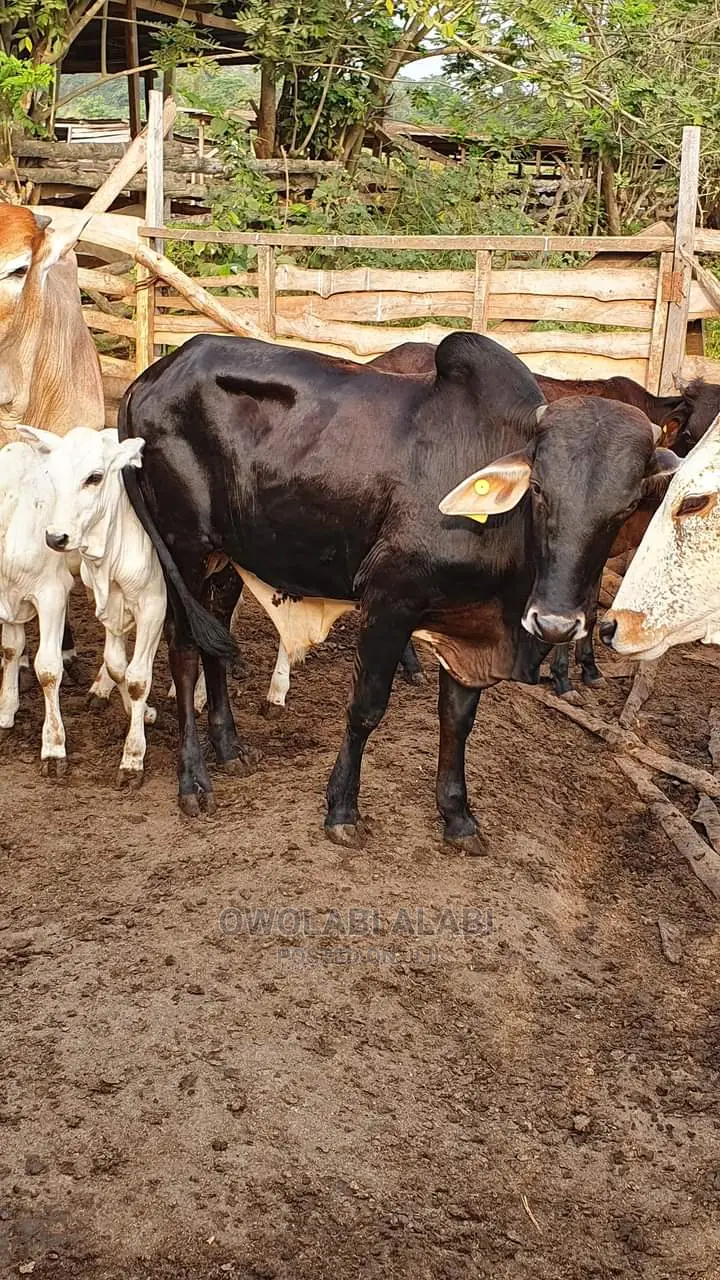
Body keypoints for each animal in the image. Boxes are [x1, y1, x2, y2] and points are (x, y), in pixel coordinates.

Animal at [17, 425, 167, 787]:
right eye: (51, 476)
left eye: (94, 477)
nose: (56, 537)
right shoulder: (109, 605)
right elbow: (117, 665)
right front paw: (139, 711)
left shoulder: (154, 605)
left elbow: (139, 677)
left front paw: (133, 758)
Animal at [116, 330, 675, 851]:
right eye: (538, 490)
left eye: (626, 506)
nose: (556, 623)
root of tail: (154, 375)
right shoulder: (390, 600)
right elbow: (366, 709)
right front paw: (342, 810)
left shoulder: (466, 625)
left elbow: (457, 721)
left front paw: (458, 817)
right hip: (183, 548)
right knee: (185, 652)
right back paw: (193, 780)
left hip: (227, 557)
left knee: (215, 644)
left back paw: (230, 749)